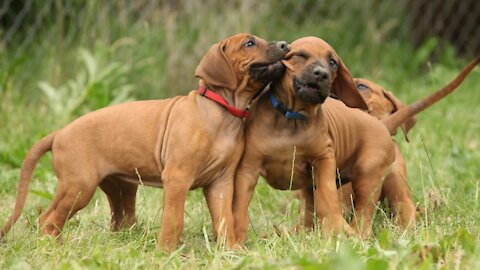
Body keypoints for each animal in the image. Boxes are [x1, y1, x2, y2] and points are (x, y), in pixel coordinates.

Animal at [0, 33, 288, 251]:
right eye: (249, 43)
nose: (285, 45)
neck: (221, 110)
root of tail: (59, 132)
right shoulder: (177, 177)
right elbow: (173, 219)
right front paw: (166, 252)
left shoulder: (221, 182)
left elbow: (225, 219)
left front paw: (231, 250)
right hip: (79, 186)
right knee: (48, 219)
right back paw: (54, 248)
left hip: (120, 187)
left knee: (118, 222)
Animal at [232, 35, 398, 243]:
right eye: (300, 55)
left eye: (332, 62)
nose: (322, 74)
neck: (292, 117)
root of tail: (381, 124)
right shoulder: (248, 168)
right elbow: (239, 206)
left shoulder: (323, 159)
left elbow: (328, 198)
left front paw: (335, 230)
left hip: (369, 178)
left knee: (363, 216)